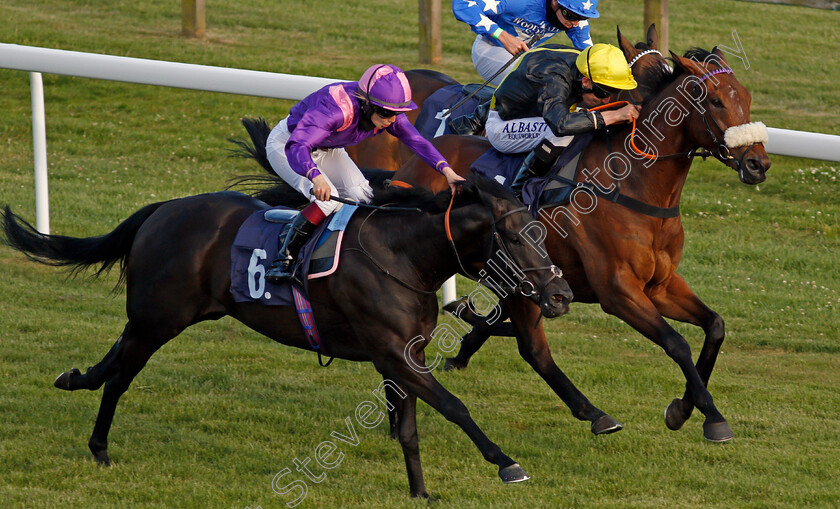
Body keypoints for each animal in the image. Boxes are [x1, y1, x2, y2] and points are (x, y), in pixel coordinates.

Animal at [0, 179, 576, 496]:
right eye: (516, 236)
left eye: (540, 232)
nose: (561, 295)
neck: (402, 257)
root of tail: (162, 209)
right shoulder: (392, 354)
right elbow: (455, 406)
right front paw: (506, 464)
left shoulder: (400, 357)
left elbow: (410, 427)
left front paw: (420, 493)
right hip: (158, 320)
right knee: (120, 377)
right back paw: (99, 448)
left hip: (153, 318)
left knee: (112, 360)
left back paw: (74, 379)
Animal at [388, 46, 768, 440]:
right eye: (716, 101)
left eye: (747, 98)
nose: (759, 163)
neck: (633, 185)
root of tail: (421, 158)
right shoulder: (618, 291)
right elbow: (676, 343)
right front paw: (710, 415)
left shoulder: (661, 285)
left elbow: (715, 326)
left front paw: (685, 408)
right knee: (533, 349)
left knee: (527, 343)